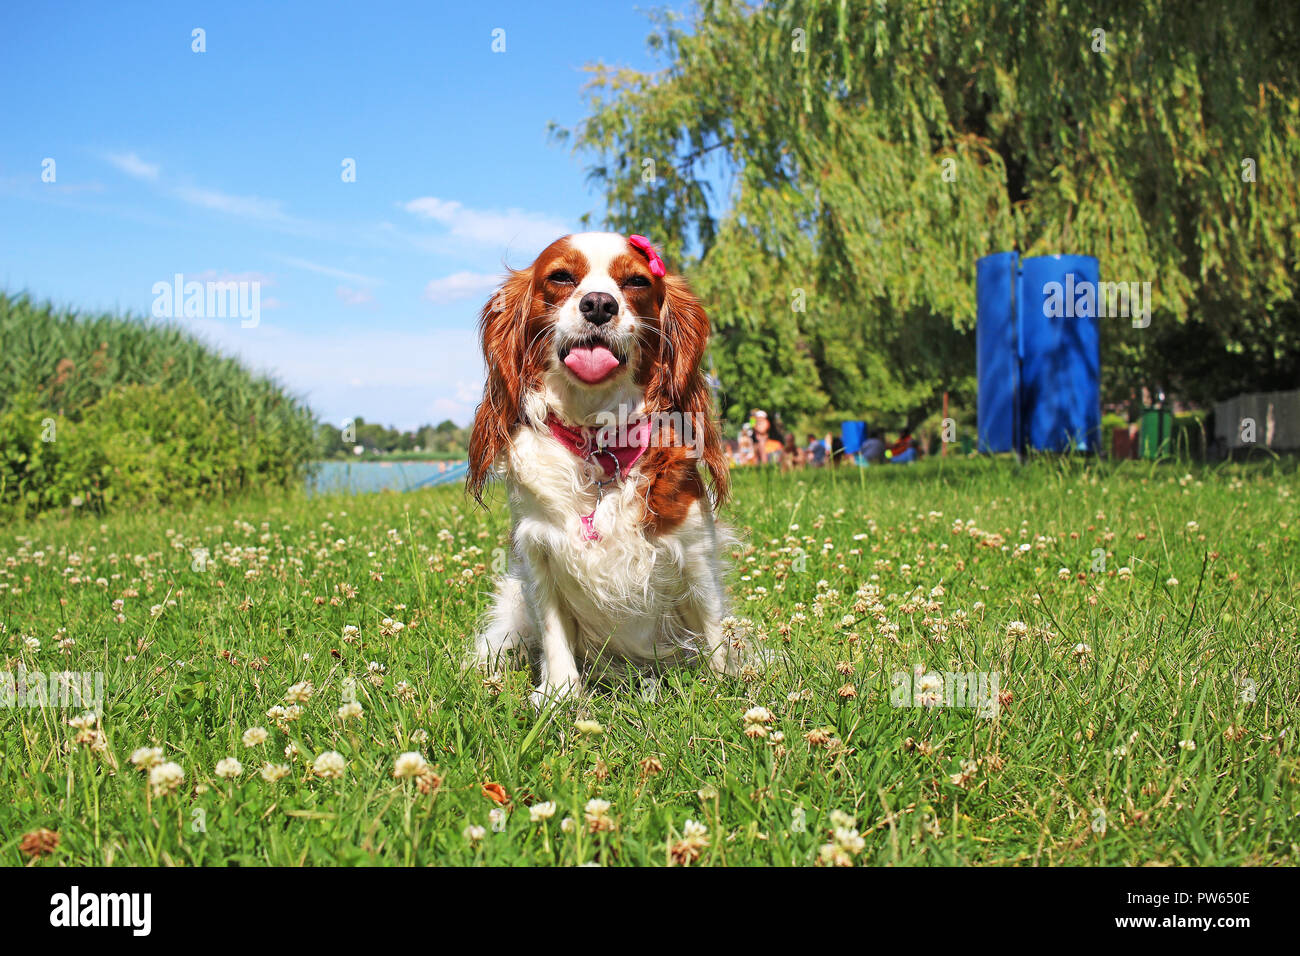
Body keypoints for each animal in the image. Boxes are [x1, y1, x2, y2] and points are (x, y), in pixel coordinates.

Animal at [467, 234, 738, 707]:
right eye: (560, 276)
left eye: (636, 281)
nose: (597, 304)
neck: (598, 443)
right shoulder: (538, 549)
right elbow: (553, 632)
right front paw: (560, 694)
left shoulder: (694, 549)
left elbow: (713, 626)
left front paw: (726, 686)